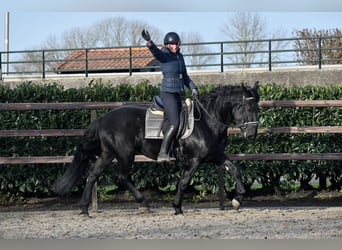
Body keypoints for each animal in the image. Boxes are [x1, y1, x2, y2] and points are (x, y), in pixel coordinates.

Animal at [52, 82, 260, 215]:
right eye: (247, 107)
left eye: (257, 108)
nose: (251, 135)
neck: (207, 121)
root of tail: (103, 118)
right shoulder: (194, 160)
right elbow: (184, 181)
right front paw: (177, 207)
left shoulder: (216, 155)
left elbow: (235, 170)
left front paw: (237, 200)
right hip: (125, 155)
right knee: (121, 177)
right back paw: (143, 203)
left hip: (107, 154)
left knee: (93, 176)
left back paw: (84, 208)